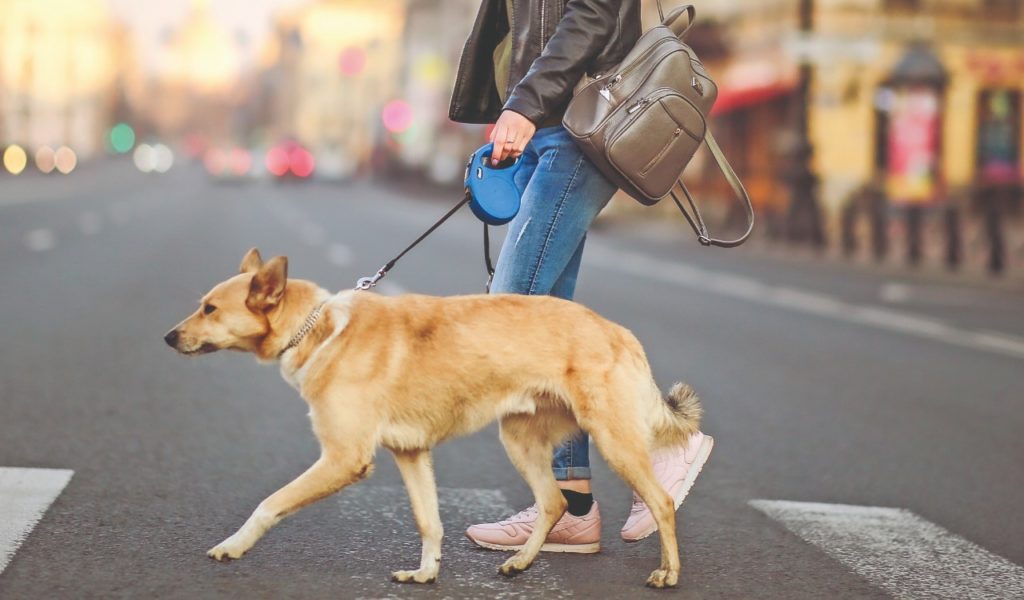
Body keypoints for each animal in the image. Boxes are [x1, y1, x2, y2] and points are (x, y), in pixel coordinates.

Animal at [163, 248, 704, 589]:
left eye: (210, 309)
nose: (168, 337)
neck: (320, 328)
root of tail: (618, 330)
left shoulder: (343, 458)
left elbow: (269, 504)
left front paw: (233, 546)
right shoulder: (410, 453)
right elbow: (430, 522)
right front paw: (426, 574)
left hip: (613, 440)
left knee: (661, 502)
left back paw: (669, 573)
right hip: (520, 440)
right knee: (553, 502)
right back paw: (520, 563)